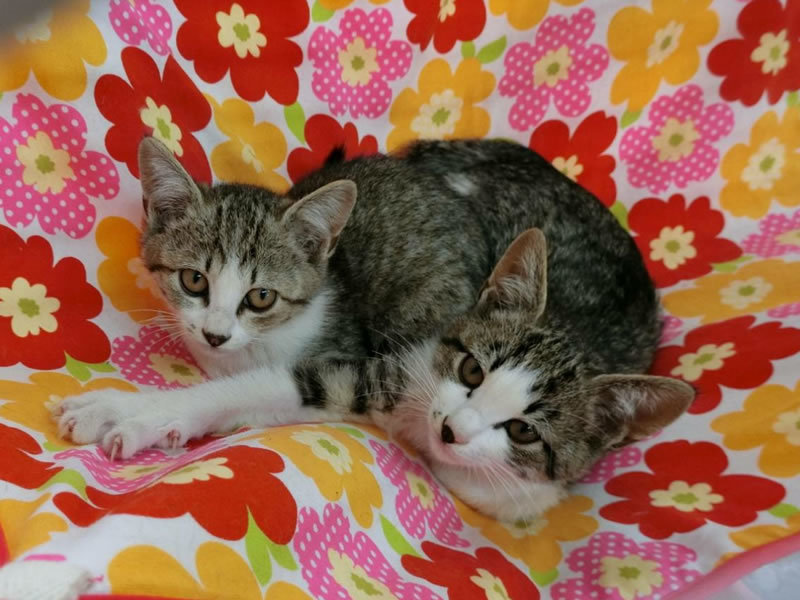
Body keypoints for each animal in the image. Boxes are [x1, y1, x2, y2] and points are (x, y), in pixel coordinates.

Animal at [54, 136, 694, 521]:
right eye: (192, 280)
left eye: (524, 432)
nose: (452, 430)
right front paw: (124, 408)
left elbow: (251, 388)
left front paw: (128, 413)